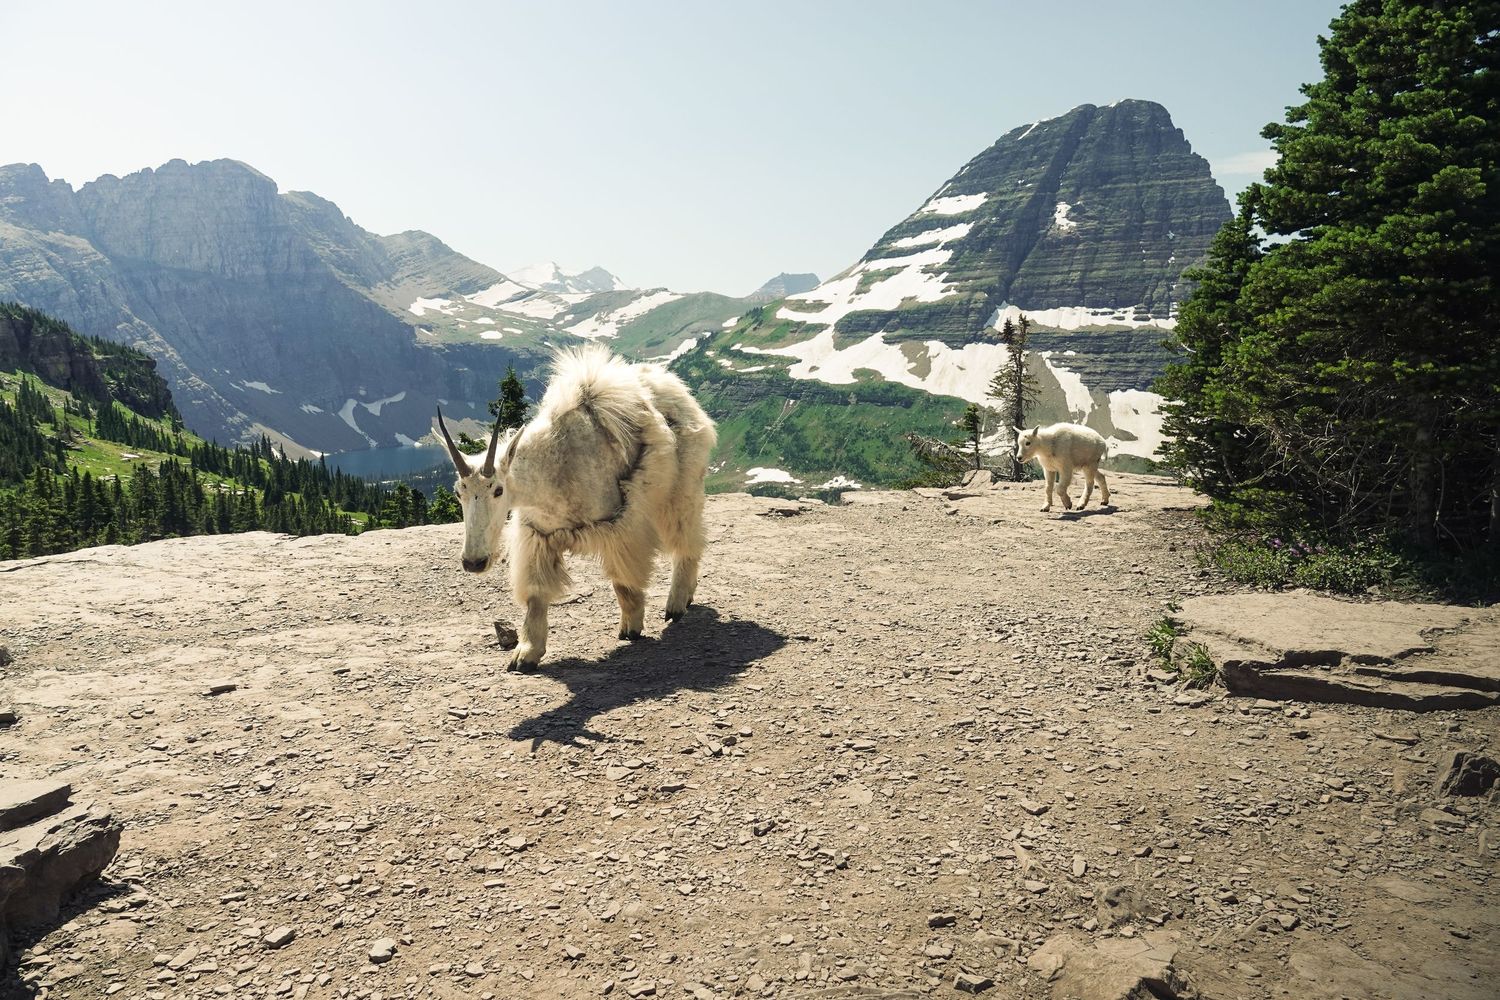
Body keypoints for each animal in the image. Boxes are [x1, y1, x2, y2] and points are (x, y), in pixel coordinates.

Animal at [437, 345, 717, 671]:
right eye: (458, 492)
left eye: (498, 490)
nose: (474, 562)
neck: (554, 466)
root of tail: (678, 388)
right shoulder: (537, 534)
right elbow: (536, 595)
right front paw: (525, 654)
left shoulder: (619, 525)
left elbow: (623, 583)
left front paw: (631, 628)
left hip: (682, 488)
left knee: (687, 540)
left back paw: (677, 604)